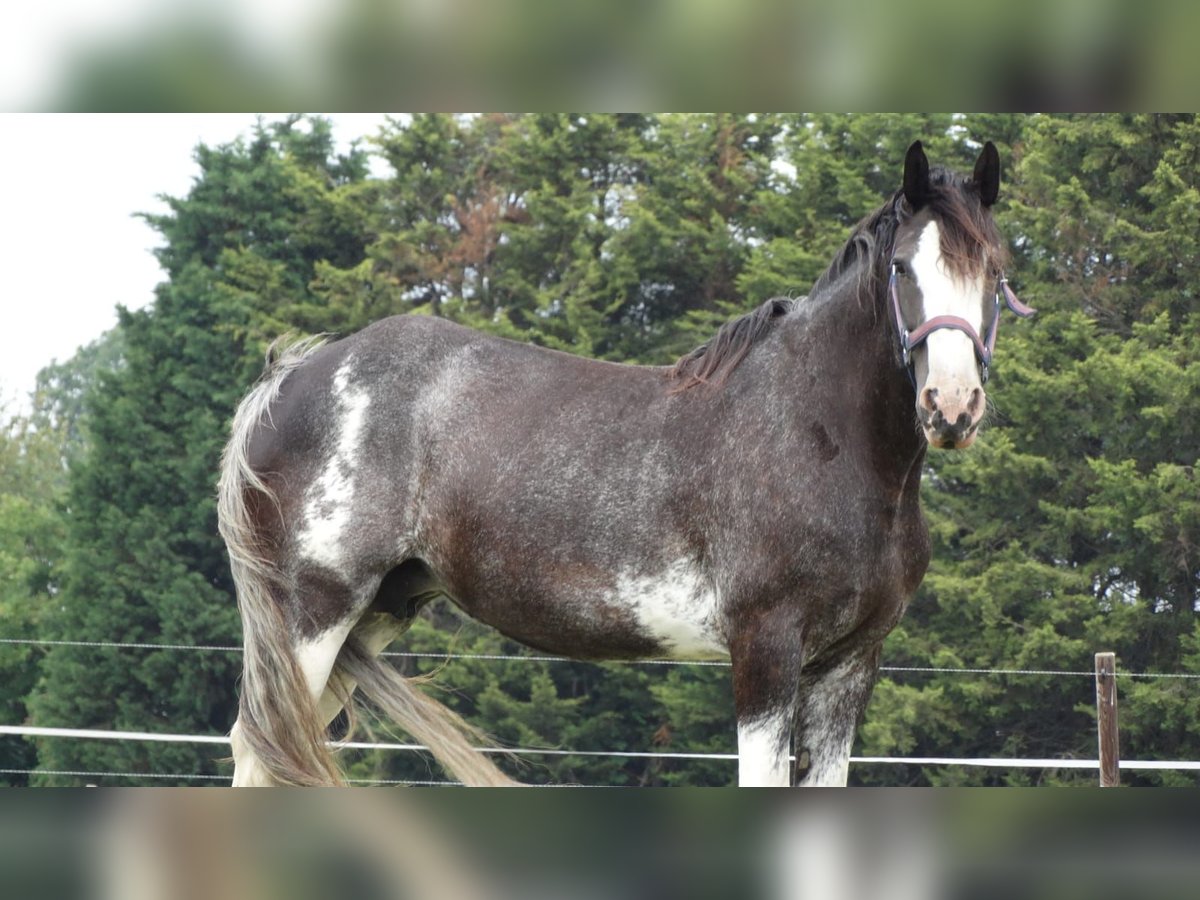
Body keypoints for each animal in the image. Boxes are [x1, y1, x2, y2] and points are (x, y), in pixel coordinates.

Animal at [220, 141, 1036, 787]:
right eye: (902, 268)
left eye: (995, 271)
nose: (952, 406)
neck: (820, 433)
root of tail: (292, 377)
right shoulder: (766, 650)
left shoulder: (850, 666)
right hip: (313, 612)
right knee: (260, 748)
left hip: (373, 614)